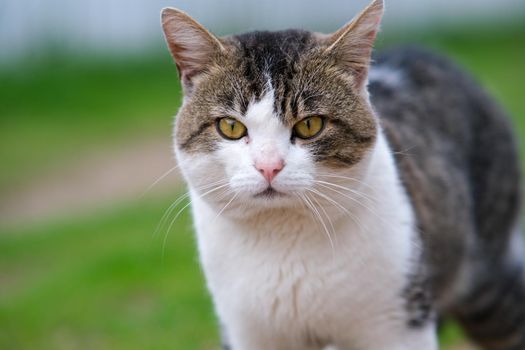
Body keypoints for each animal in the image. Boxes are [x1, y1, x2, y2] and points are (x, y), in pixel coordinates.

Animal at [161, 1, 524, 348]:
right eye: (231, 127)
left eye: (310, 125)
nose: (269, 166)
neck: (284, 242)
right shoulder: (246, 331)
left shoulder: (398, 324)